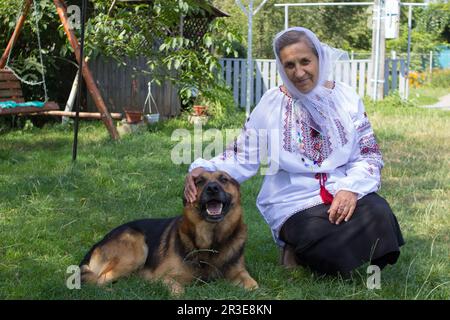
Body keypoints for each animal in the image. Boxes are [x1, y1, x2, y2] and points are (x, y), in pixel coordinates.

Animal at [79, 171, 258, 294]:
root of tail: (97, 243)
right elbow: (179, 292)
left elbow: (255, 287)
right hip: (135, 247)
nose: (212, 188)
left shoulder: (240, 273)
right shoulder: (166, 277)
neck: (211, 243)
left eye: (223, 179)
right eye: (200, 181)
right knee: (99, 281)